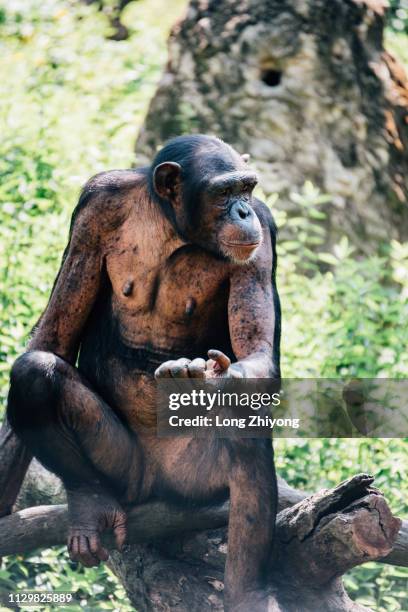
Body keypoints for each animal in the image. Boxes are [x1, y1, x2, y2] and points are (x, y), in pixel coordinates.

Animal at [5, 136, 280, 608]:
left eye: (247, 189)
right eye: (224, 192)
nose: (243, 212)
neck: (172, 229)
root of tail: (155, 485)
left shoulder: (260, 241)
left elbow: (257, 353)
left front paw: (211, 374)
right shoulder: (95, 210)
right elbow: (52, 339)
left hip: (194, 477)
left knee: (243, 421)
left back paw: (247, 594)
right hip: (120, 466)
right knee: (35, 375)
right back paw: (90, 505)